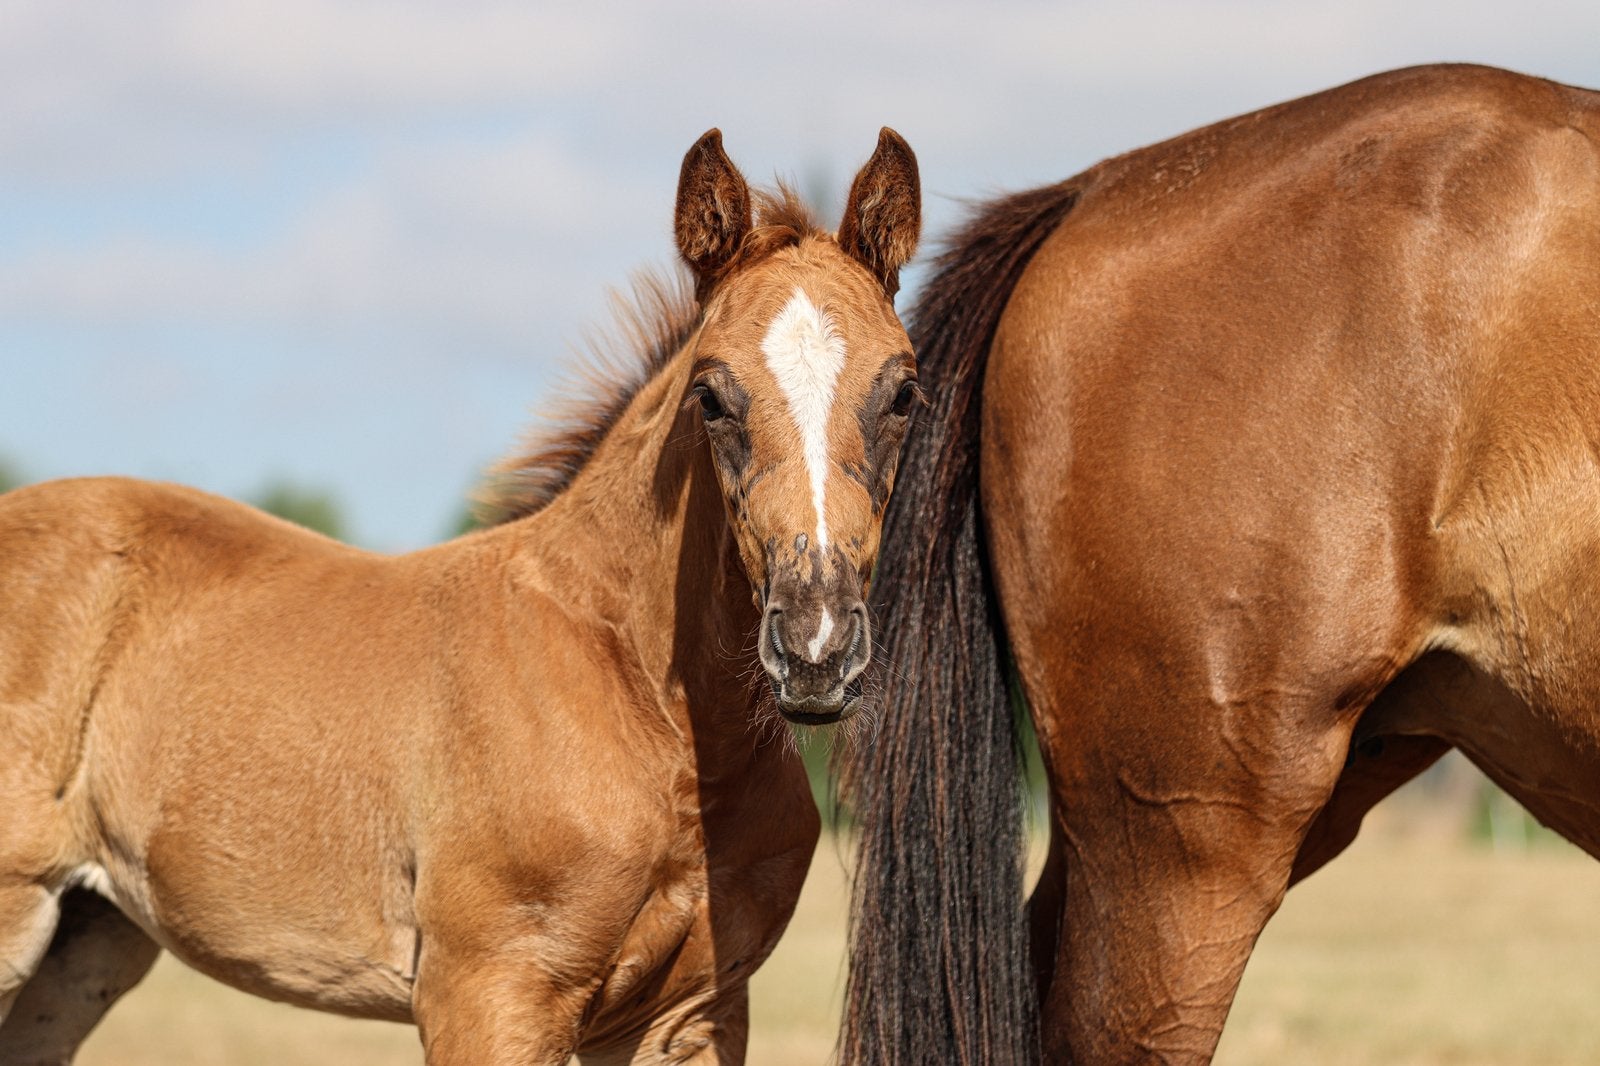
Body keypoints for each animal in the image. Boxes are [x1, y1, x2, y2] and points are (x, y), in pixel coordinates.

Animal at [0, 126, 922, 1065]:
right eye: (711, 393)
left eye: (904, 392)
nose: (817, 648)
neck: (647, 712)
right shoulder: (487, 995)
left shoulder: (691, 1016)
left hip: (88, 937)